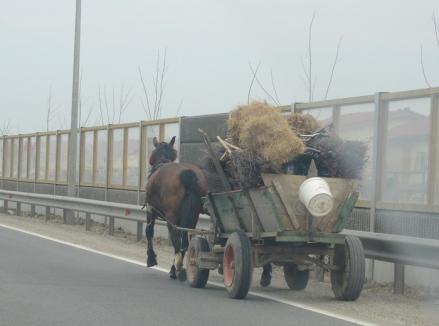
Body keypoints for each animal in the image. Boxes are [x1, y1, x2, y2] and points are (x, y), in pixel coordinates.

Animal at [145, 136, 209, 282]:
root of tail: (188, 174)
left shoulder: (150, 210)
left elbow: (149, 232)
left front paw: (151, 258)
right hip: (193, 216)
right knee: (185, 239)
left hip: (171, 217)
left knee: (176, 239)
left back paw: (176, 269)